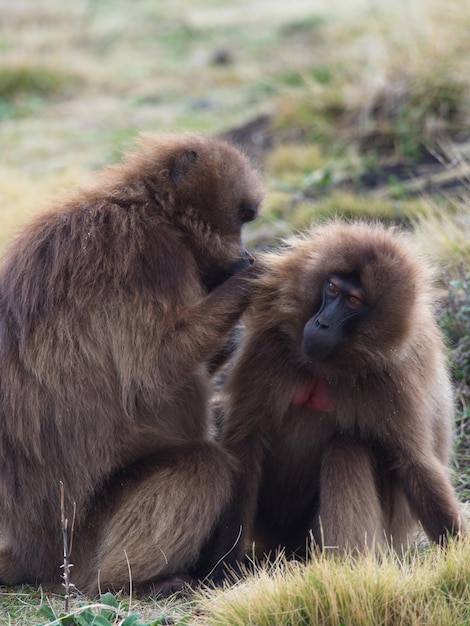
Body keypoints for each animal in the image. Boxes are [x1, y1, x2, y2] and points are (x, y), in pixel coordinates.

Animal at [0, 133, 264, 596]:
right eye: (243, 218)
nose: (245, 252)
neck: (151, 209)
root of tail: (29, 550)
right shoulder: (146, 254)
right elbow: (152, 373)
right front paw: (248, 281)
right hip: (80, 543)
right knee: (203, 467)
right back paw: (136, 583)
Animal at [209, 219, 466, 576]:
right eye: (331, 289)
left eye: (354, 301)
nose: (321, 323)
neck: (328, 366)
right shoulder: (269, 348)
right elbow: (245, 444)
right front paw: (222, 570)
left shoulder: (392, 379)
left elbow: (414, 464)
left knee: (346, 448)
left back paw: (348, 567)